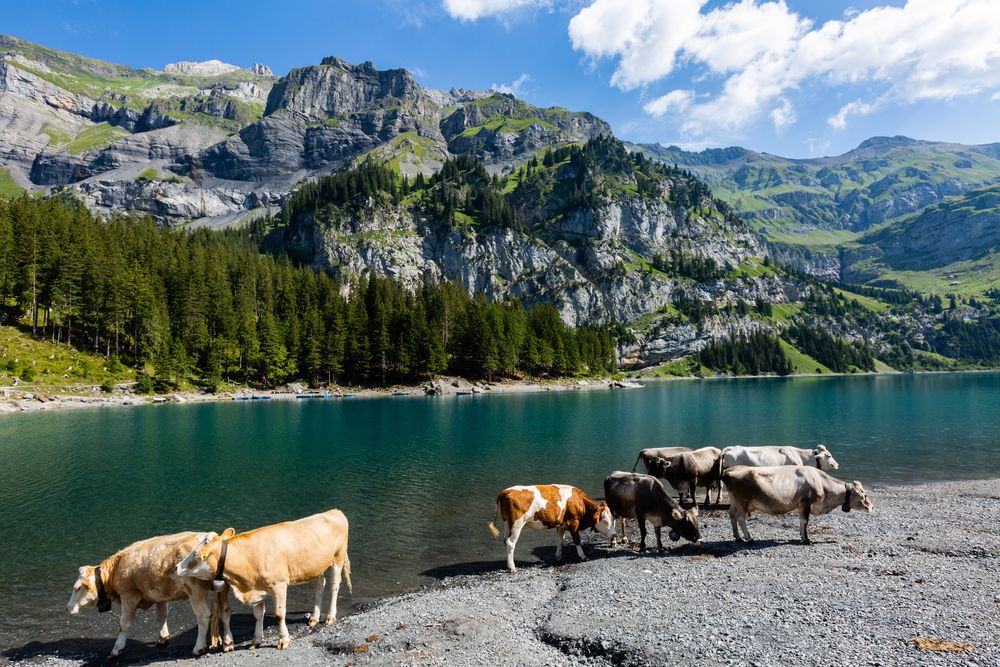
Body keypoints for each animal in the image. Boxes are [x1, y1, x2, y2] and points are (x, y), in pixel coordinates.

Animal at [66, 532, 229, 656]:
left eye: (77, 588)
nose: (68, 607)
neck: (117, 568)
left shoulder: (128, 596)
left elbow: (123, 624)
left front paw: (117, 648)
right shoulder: (160, 594)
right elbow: (162, 616)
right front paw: (162, 637)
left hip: (195, 592)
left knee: (203, 616)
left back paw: (198, 647)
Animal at [175, 512, 352, 652]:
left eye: (196, 556)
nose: (177, 567)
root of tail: (334, 512)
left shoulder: (279, 585)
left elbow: (279, 615)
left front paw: (283, 640)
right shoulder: (257, 587)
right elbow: (258, 615)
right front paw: (256, 641)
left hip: (338, 556)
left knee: (334, 585)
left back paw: (330, 616)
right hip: (316, 566)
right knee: (319, 585)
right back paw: (314, 618)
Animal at [720, 464, 876, 544]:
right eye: (864, 495)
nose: (872, 507)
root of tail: (730, 470)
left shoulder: (802, 505)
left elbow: (801, 521)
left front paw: (801, 536)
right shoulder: (806, 502)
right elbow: (805, 521)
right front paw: (806, 539)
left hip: (734, 502)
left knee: (732, 515)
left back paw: (738, 537)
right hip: (743, 502)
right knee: (741, 519)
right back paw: (749, 538)